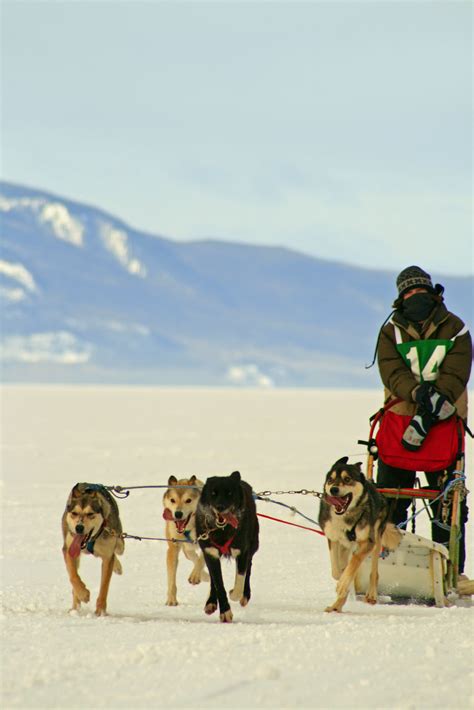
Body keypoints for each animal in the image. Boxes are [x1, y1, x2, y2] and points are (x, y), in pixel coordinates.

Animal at [61, 484, 124, 616]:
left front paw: (100, 612)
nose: (79, 527)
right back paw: (75, 608)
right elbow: (73, 576)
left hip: (120, 543)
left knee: (118, 550)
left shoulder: (107, 556)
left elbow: (104, 586)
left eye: (90, 514)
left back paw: (117, 567)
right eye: (74, 513)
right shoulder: (68, 550)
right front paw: (83, 593)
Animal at [163, 478, 207, 608]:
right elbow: (171, 579)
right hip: (187, 549)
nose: (178, 514)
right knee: (192, 556)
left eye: (188, 500)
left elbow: (200, 560)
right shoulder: (173, 548)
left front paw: (195, 576)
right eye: (172, 500)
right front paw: (171, 599)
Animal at [195, 472, 260, 624]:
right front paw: (225, 611)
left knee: (248, 568)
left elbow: (239, 581)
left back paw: (245, 595)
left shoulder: (242, 552)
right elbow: (218, 584)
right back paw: (211, 602)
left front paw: (235, 593)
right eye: (213, 493)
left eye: (229, 493)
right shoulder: (210, 553)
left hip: (253, 545)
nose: (220, 506)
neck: (222, 531)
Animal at [316, 458, 402, 616]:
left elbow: (354, 563)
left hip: (376, 540)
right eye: (331, 480)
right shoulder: (333, 539)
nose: (333, 489)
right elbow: (336, 571)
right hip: (347, 548)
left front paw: (342, 584)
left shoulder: (367, 542)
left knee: (374, 570)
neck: (346, 517)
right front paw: (341, 584)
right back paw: (336, 606)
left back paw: (371, 595)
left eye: (347, 479)